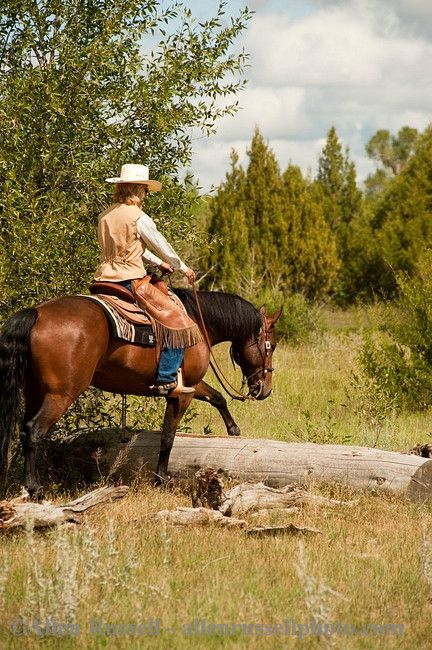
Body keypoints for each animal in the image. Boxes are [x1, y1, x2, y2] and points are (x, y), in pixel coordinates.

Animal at [0, 290, 280, 496]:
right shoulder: (181, 393)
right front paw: (161, 479)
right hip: (61, 394)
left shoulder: (190, 384)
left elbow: (217, 397)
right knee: (34, 431)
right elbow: (168, 436)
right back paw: (34, 488)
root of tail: (37, 313)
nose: (265, 388)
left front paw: (233, 430)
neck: (196, 323)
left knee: (24, 430)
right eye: (272, 345)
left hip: (34, 391)